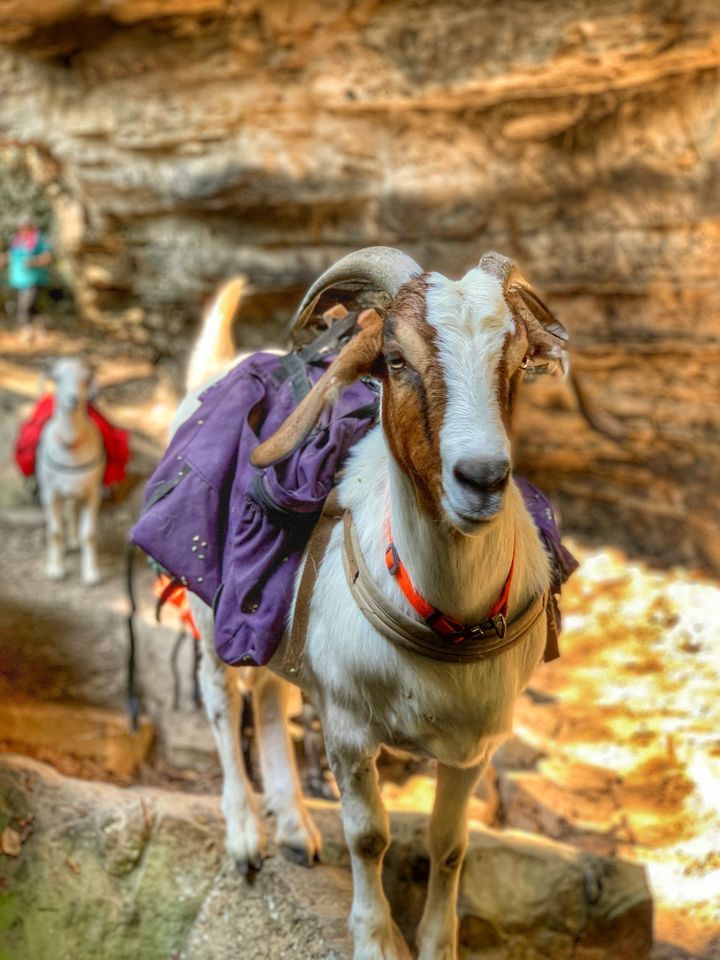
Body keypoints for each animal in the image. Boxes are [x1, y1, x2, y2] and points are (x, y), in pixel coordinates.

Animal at [36, 358, 104, 585]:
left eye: (86, 379)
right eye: (56, 378)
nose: (73, 400)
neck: (71, 447)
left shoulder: (92, 492)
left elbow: (89, 534)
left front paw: (91, 574)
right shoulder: (51, 492)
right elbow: (56, 532)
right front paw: (55, 570)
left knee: (72, 510)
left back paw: (74, 542)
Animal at [179, 248, 568, 960]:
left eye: (515, 360)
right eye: (396, 359)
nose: (482, 478)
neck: (444, 619)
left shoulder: (475, 744)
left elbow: (450, 846)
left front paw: (438, 943)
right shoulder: (349, 727)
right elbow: (368, 836)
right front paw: (376, 939)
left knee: (269, 697)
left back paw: (292, 828)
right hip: (208, 609)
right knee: (222, 700)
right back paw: (246, 836)